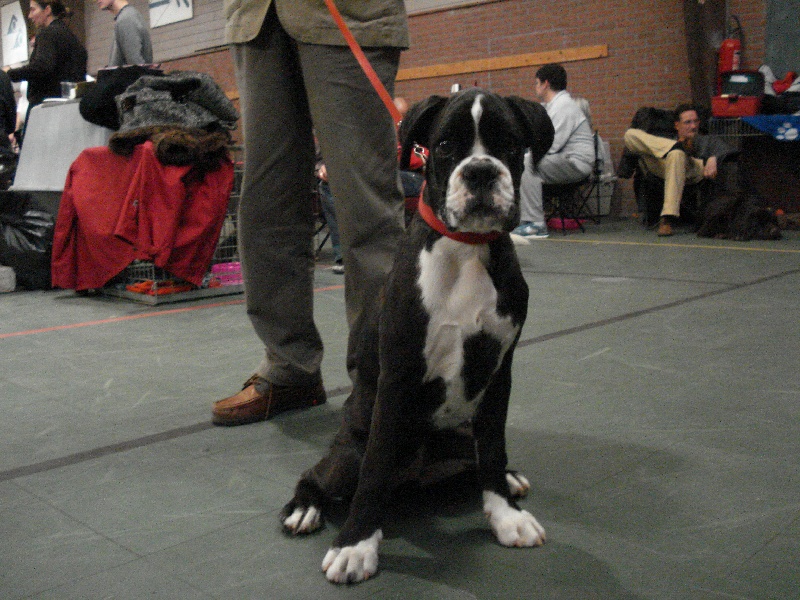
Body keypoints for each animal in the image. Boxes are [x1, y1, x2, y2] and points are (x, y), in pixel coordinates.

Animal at [278, 91, 552, 584]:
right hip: (348, 452)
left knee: (476, 460)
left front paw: (505, 515)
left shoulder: (499, 373)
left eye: (509, 144)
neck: (466, 249)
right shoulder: (397, 379)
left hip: (461, 436)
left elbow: (494, 449)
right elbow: (375, 468)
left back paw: (509, 479)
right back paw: (304, 508)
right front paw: (355, 544)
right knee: (323, 473)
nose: (480, 171)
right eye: (443, 146)